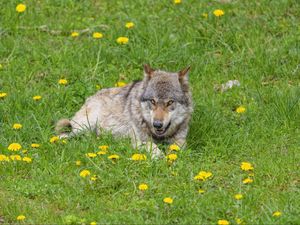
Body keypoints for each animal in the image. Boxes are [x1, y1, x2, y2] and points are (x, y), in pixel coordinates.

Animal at [55, 64, 192, 157]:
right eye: (152, 101)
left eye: (170, 102)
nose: (157, 124)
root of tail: (90, 97)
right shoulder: (138, 140)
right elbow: (152, 147)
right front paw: (160, 157)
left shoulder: (180, 140)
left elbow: (178, 146)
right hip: (83, 127)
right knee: (63, 135)